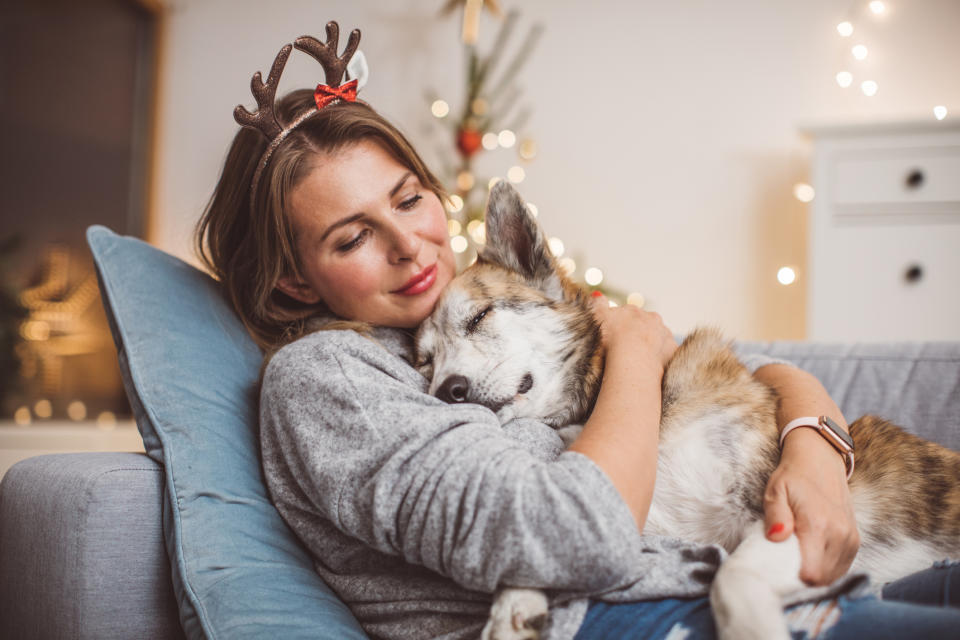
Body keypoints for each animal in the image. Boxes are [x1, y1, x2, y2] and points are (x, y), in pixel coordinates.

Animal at [414, 180, 960, 640]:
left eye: (480, 316)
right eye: (424, 360)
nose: (446, 390)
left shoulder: (785, 517)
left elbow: (732, 579)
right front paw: (514, 605)